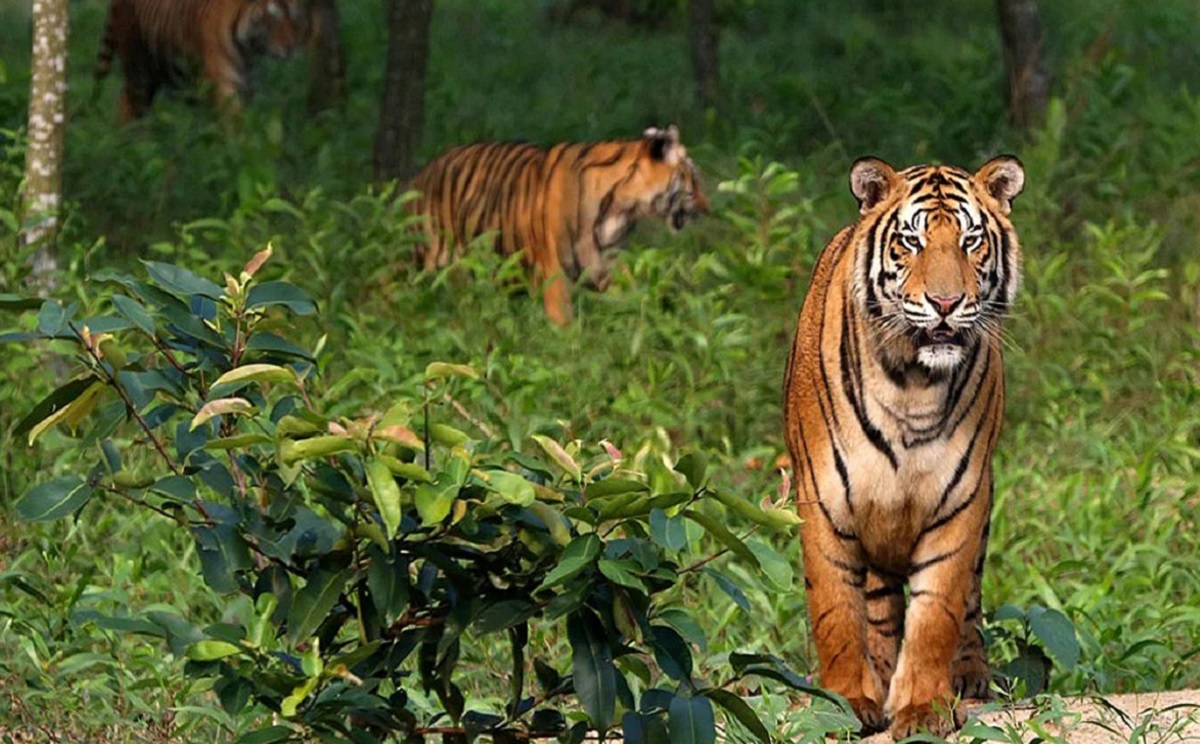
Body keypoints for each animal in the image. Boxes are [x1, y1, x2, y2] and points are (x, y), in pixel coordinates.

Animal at [93, 0, 314, 122]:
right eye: (273, 18)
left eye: (294, 18)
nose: (292, 47)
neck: (249, 52)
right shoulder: (223, 85)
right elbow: (235, 122)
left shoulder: (247, 87)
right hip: (138, 67)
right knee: (132, 103)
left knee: (125, 100)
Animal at [407, 125, 710, 326]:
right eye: (693, 180)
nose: (708, 210)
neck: (622, 210)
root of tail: (421, 174)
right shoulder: (553, 272)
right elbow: (563, 324)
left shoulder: (607, 264)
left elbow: (635, 298)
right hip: (422, 259)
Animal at [782, 155, 1025, 738]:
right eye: (911, 242)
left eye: (971, 240)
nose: (945, 303)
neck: (912, 384)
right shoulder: (824, 499)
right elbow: (835, 610)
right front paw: (845, 702)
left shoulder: (960, 501)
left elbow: (937, 613)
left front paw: (923, 708)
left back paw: (968, 676)